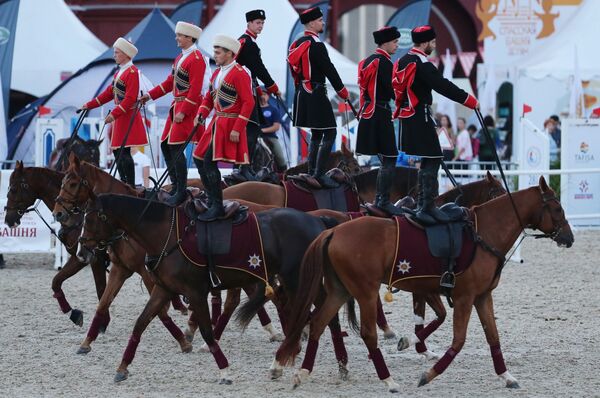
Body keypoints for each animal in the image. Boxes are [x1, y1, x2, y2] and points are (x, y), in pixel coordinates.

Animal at [3, 162, 108, 326]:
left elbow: (101, 291)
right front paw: (73, 313)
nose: (8, 219)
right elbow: (56, 281)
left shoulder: (93, 259)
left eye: (13, 189)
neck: (77, 215)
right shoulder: (78, 258)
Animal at [278, 179, 576, 394]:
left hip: (340, 290)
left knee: (318, 323)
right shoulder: (464, 297)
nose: (569, 238)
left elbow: (493, 337)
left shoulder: (482, 297)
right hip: (364, 292)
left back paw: (302, 373)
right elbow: (458, 339)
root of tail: (333, 230)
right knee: (367, 333)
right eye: (557, 208)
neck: (482, 234)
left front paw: (507, 376)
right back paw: (388, 380)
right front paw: (429, 374)